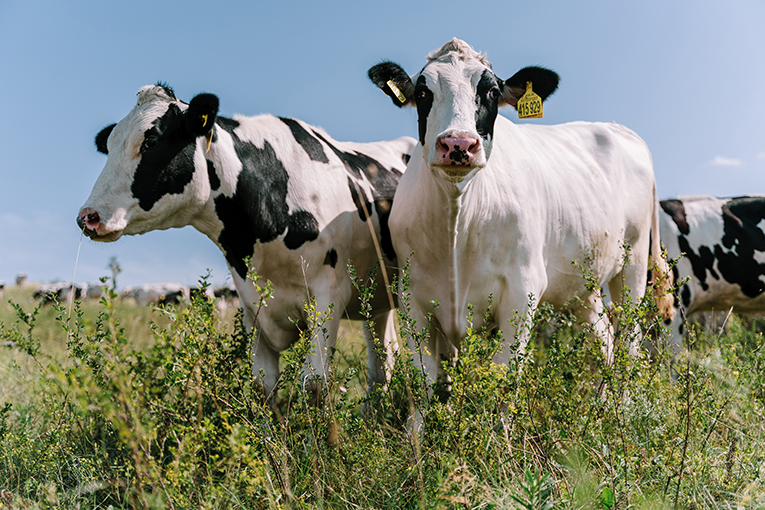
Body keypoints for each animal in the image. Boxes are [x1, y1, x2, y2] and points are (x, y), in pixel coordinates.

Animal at [74, 82, 414, 398]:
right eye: (110, 145)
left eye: (151, 140)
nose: (88, 216)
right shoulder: (252, 305)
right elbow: (263, 386)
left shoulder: (328, 294)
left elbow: (314, 385)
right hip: (376, 299)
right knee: (382, 363)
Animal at [368, 38, 672, 422]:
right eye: (423, 92)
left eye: (491, 91)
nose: (458, 145)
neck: (457, 218)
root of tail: (617, 128)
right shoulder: (412, 298)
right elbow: (424, 381)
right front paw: (420, 436)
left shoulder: (522, 289)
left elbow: (501, 383)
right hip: (582, 284)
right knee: (604, 336)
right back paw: (601, 407)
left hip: (632, 264)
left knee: (629, 339)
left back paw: (623, 411)